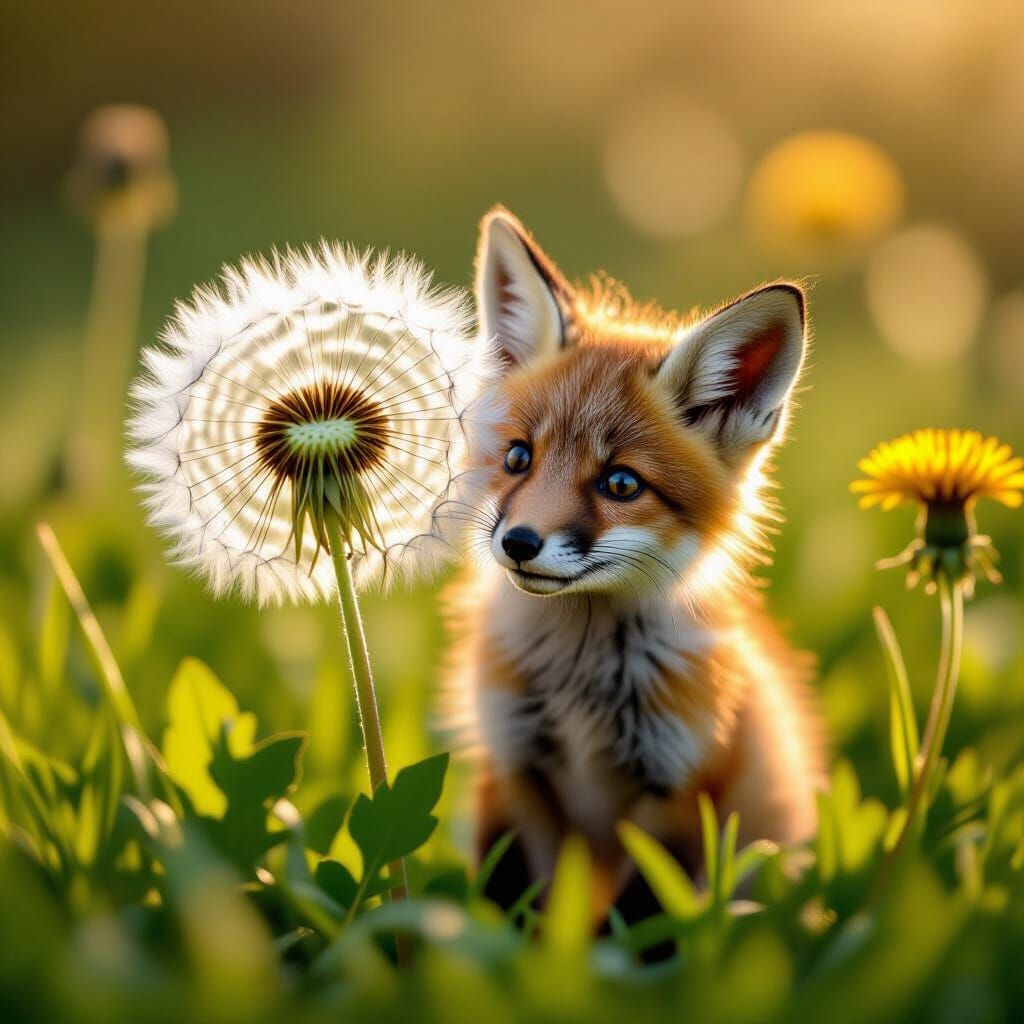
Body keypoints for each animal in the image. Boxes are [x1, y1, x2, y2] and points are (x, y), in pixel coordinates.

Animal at [445, 207, 826, 924]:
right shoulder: (512, 768)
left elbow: (638, 932)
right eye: (517, 458)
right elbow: (510, 913)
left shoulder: (678, 795)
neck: (580, 689)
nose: (519, 542)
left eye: (621, 484)